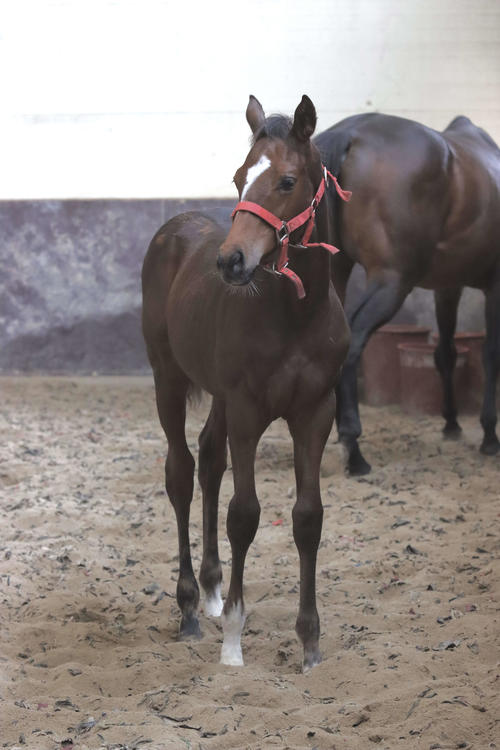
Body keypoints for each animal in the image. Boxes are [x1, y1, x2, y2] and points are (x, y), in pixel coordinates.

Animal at [141, 95, 350, 670]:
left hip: (218, 395)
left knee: (210, 460)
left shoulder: (315, 412)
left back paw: (212, 592)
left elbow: (307, 517)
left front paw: (310, 643)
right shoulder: (249, 411)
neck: (296, 315)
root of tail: (173, 226)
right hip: (168, 378)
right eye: (239, 176)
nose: (230, 261)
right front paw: (233, 641)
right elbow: (245, 515)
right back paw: (191, 608)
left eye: (286, 181)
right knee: (182, 471)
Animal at [314, 113, 500, 476]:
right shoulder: (496, 285)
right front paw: (489, 437)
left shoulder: (447, 287)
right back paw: (354, 450)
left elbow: (446, 352)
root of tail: (351, 132)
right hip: (393, 283)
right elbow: (491, 354)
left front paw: (452, 424)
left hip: (338, 274)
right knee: (352, 341)